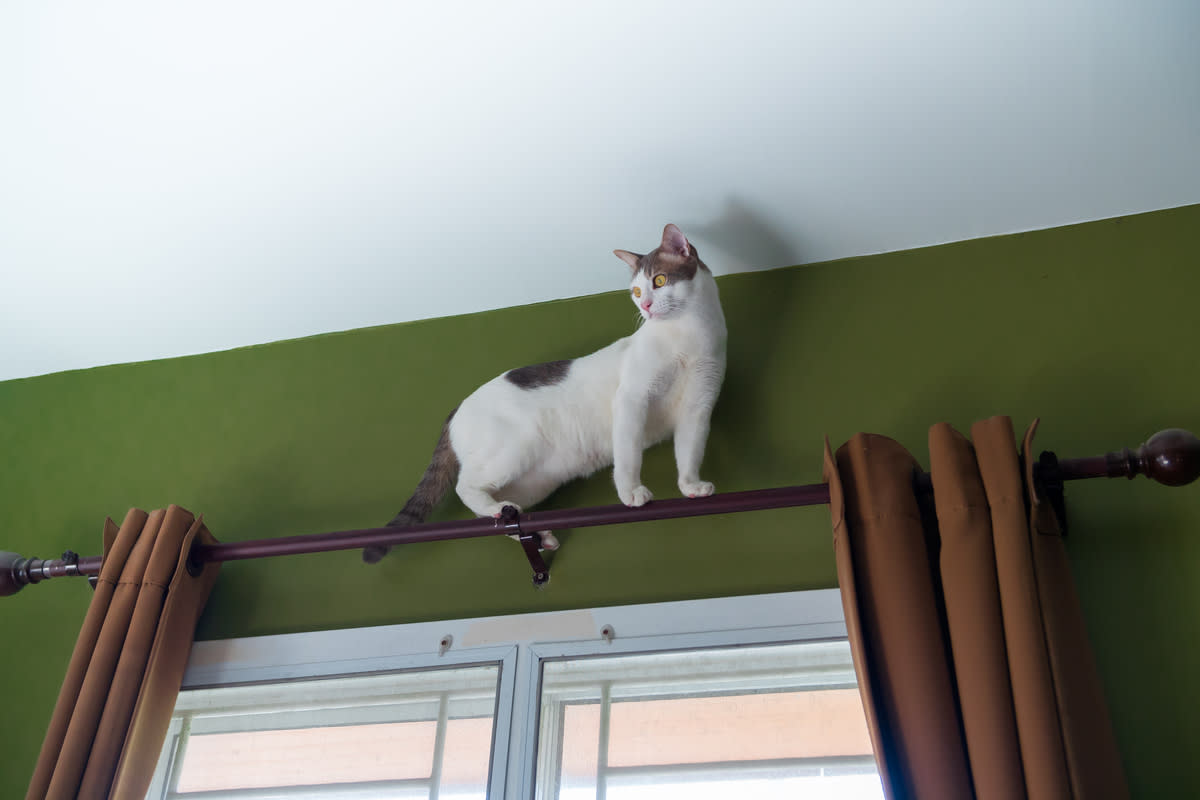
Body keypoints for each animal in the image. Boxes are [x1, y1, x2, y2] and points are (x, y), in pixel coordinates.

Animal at [360, 221, 724, 566]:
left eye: (659, 280)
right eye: (636, 290)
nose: (645, 305)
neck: (689, 336)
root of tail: (455, 409)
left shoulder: (698, 407)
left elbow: (689, 452)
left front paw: (691, 486)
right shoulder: (633, 398)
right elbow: (629, 456)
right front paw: (631, 492)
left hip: (534, 481)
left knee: (492, 513)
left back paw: (530, 529)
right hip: (516, 448)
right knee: (466, 488)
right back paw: (506, 514)